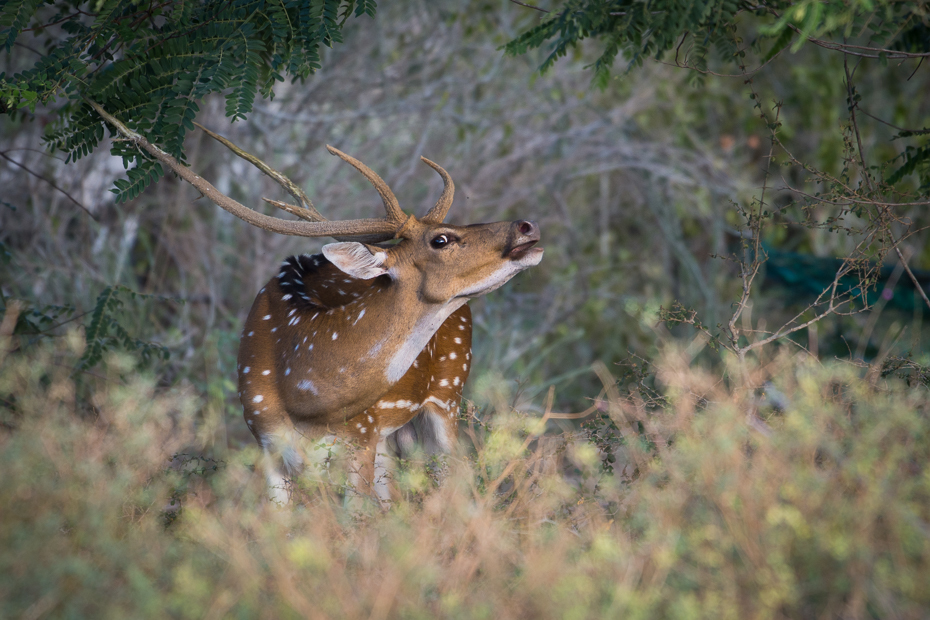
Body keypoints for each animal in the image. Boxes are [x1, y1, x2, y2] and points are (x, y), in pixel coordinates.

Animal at [88, 104, 544, 506]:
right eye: (442, 239)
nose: (528, 225)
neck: (306, 394)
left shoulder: (360, 436)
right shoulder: (267, 440)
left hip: (448, 392)